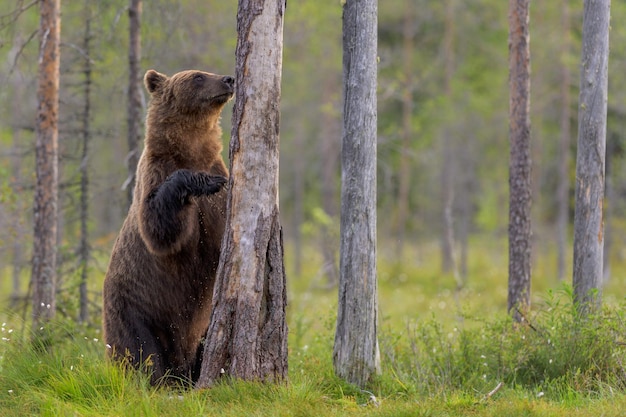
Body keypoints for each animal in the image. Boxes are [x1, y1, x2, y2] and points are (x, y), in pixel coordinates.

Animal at [102, 68, 234, 384]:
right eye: (198, 76)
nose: (228, 79)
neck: (192, 150)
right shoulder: (156, 172)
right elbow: (160, 229)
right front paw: (204, 182)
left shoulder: (218, 200)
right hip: (136, 307)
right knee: (140, 350)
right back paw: (154, 378)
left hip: (203, 321)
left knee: (203, 340)